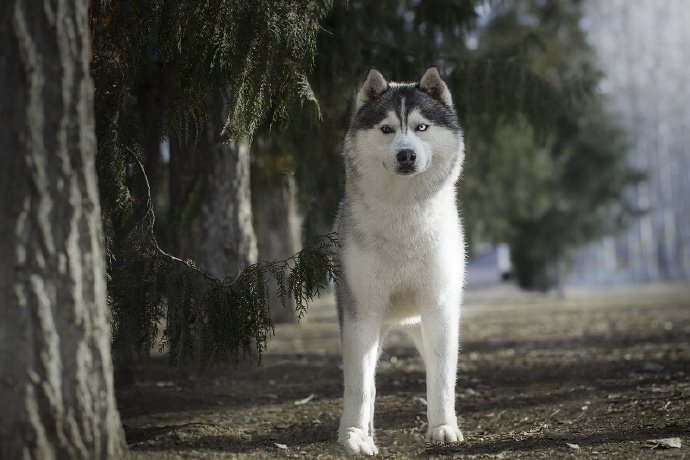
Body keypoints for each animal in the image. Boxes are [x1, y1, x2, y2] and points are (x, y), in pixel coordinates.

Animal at [332, 66, 462, 454]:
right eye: (387, 129)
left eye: (421, 127)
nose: (406, 155)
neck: (405, 215)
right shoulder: (361, 313)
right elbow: (360, 385)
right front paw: (353, 436)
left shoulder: (439, 308)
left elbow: (441, 378)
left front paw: (442, 428)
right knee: (370, 382)